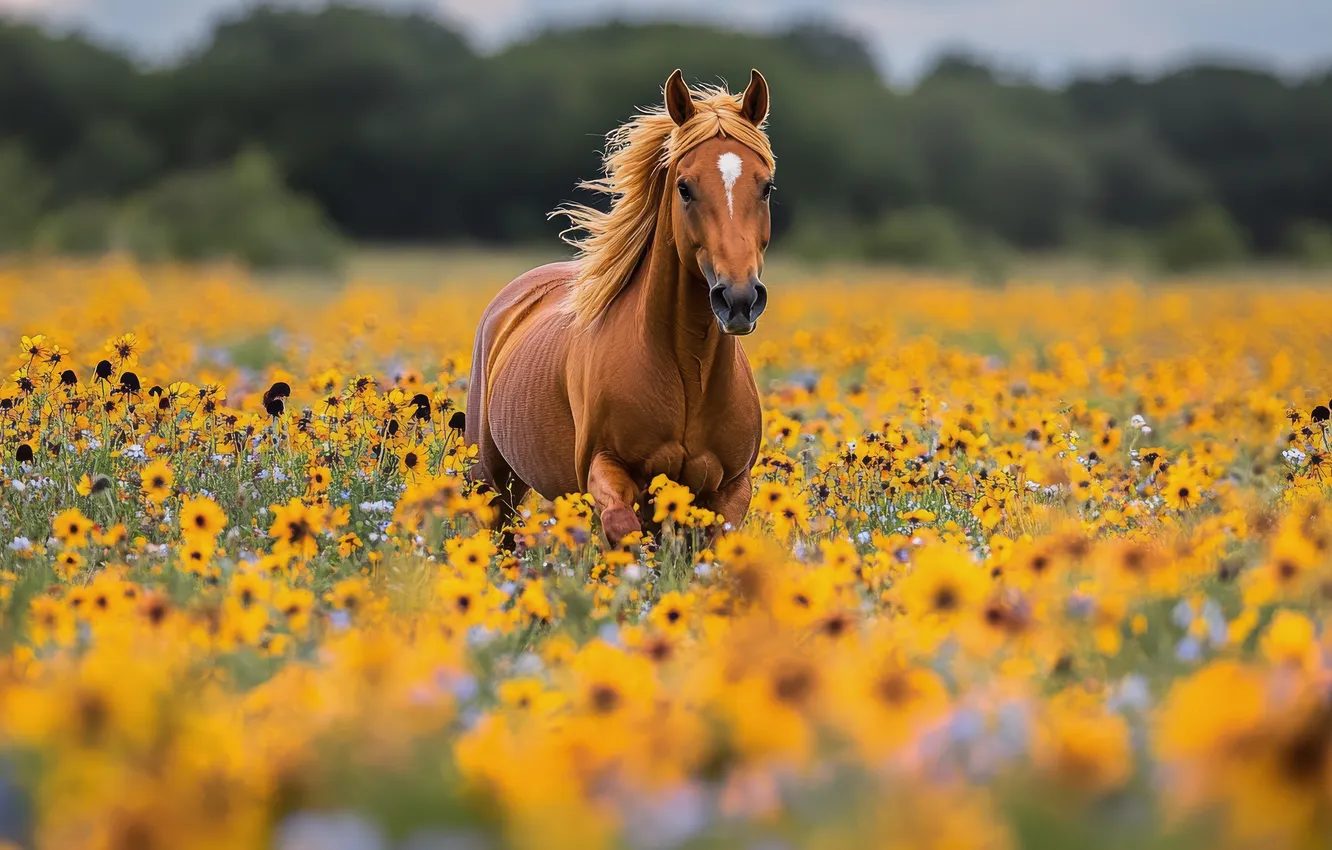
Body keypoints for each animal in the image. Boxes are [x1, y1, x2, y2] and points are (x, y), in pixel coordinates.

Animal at [465, 69, 775, 546]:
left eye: (766, 186)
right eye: (684, 188)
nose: (739, 299)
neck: (689, 371)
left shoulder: (729, 489)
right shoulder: (605, 467)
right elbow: (621, 527)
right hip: (492, 480)